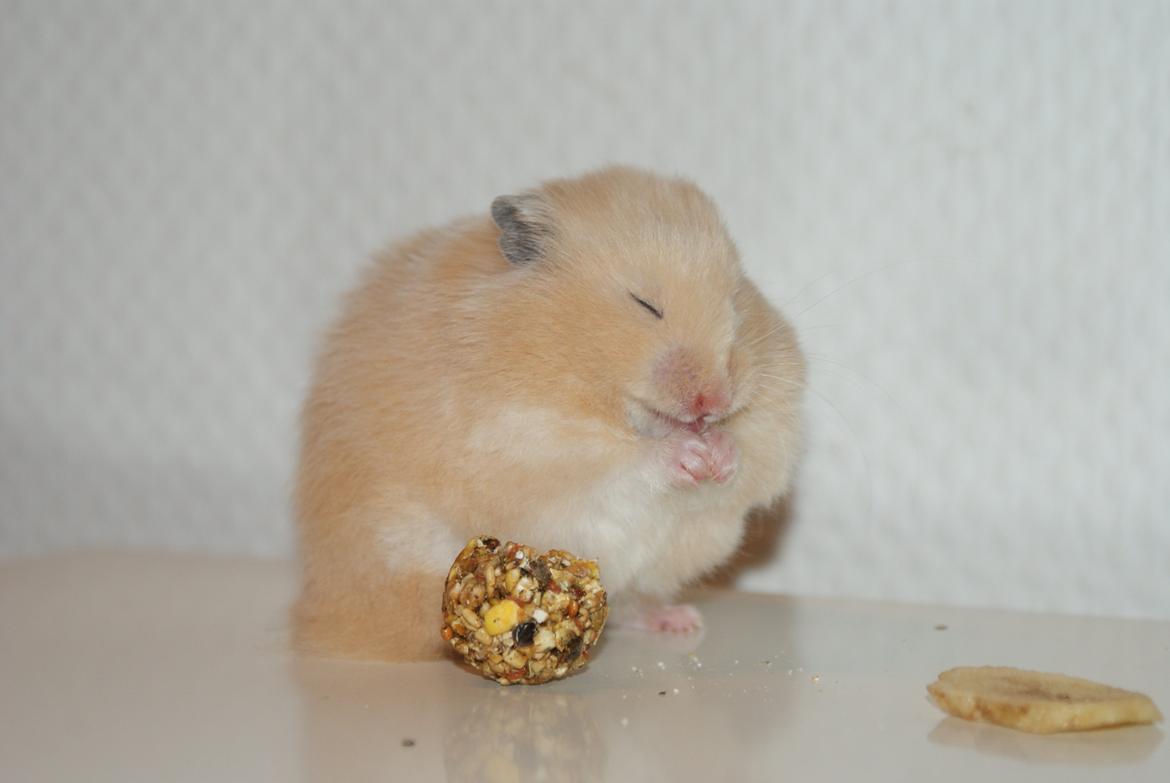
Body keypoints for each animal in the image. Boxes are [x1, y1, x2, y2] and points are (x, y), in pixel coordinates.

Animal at [292, 166, 804, 661]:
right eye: (645, 304)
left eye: (736, 304)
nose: (713, 401)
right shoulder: (523, 439)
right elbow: (618, 460)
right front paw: (689, 454)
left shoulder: (771, 424)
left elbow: (752, 455)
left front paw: (720, 452)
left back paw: (678, 621)